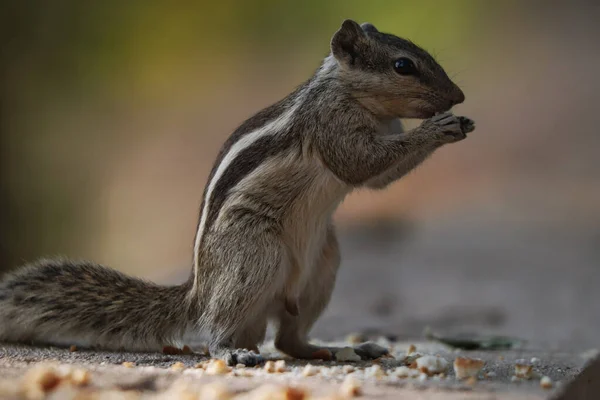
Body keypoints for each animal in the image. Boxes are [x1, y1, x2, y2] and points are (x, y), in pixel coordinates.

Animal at [0, 21, 474, 366]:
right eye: (402, 66)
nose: (459, 96)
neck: (351, 95)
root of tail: (200, 290)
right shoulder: (330, 125)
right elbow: (361, 165)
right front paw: (438, 128)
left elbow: (379, 178)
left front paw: (458, 124)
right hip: (253, 253)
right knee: (221, 327)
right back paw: (231, 350)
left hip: (322, 266)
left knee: (287, 340)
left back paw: (340, 348)